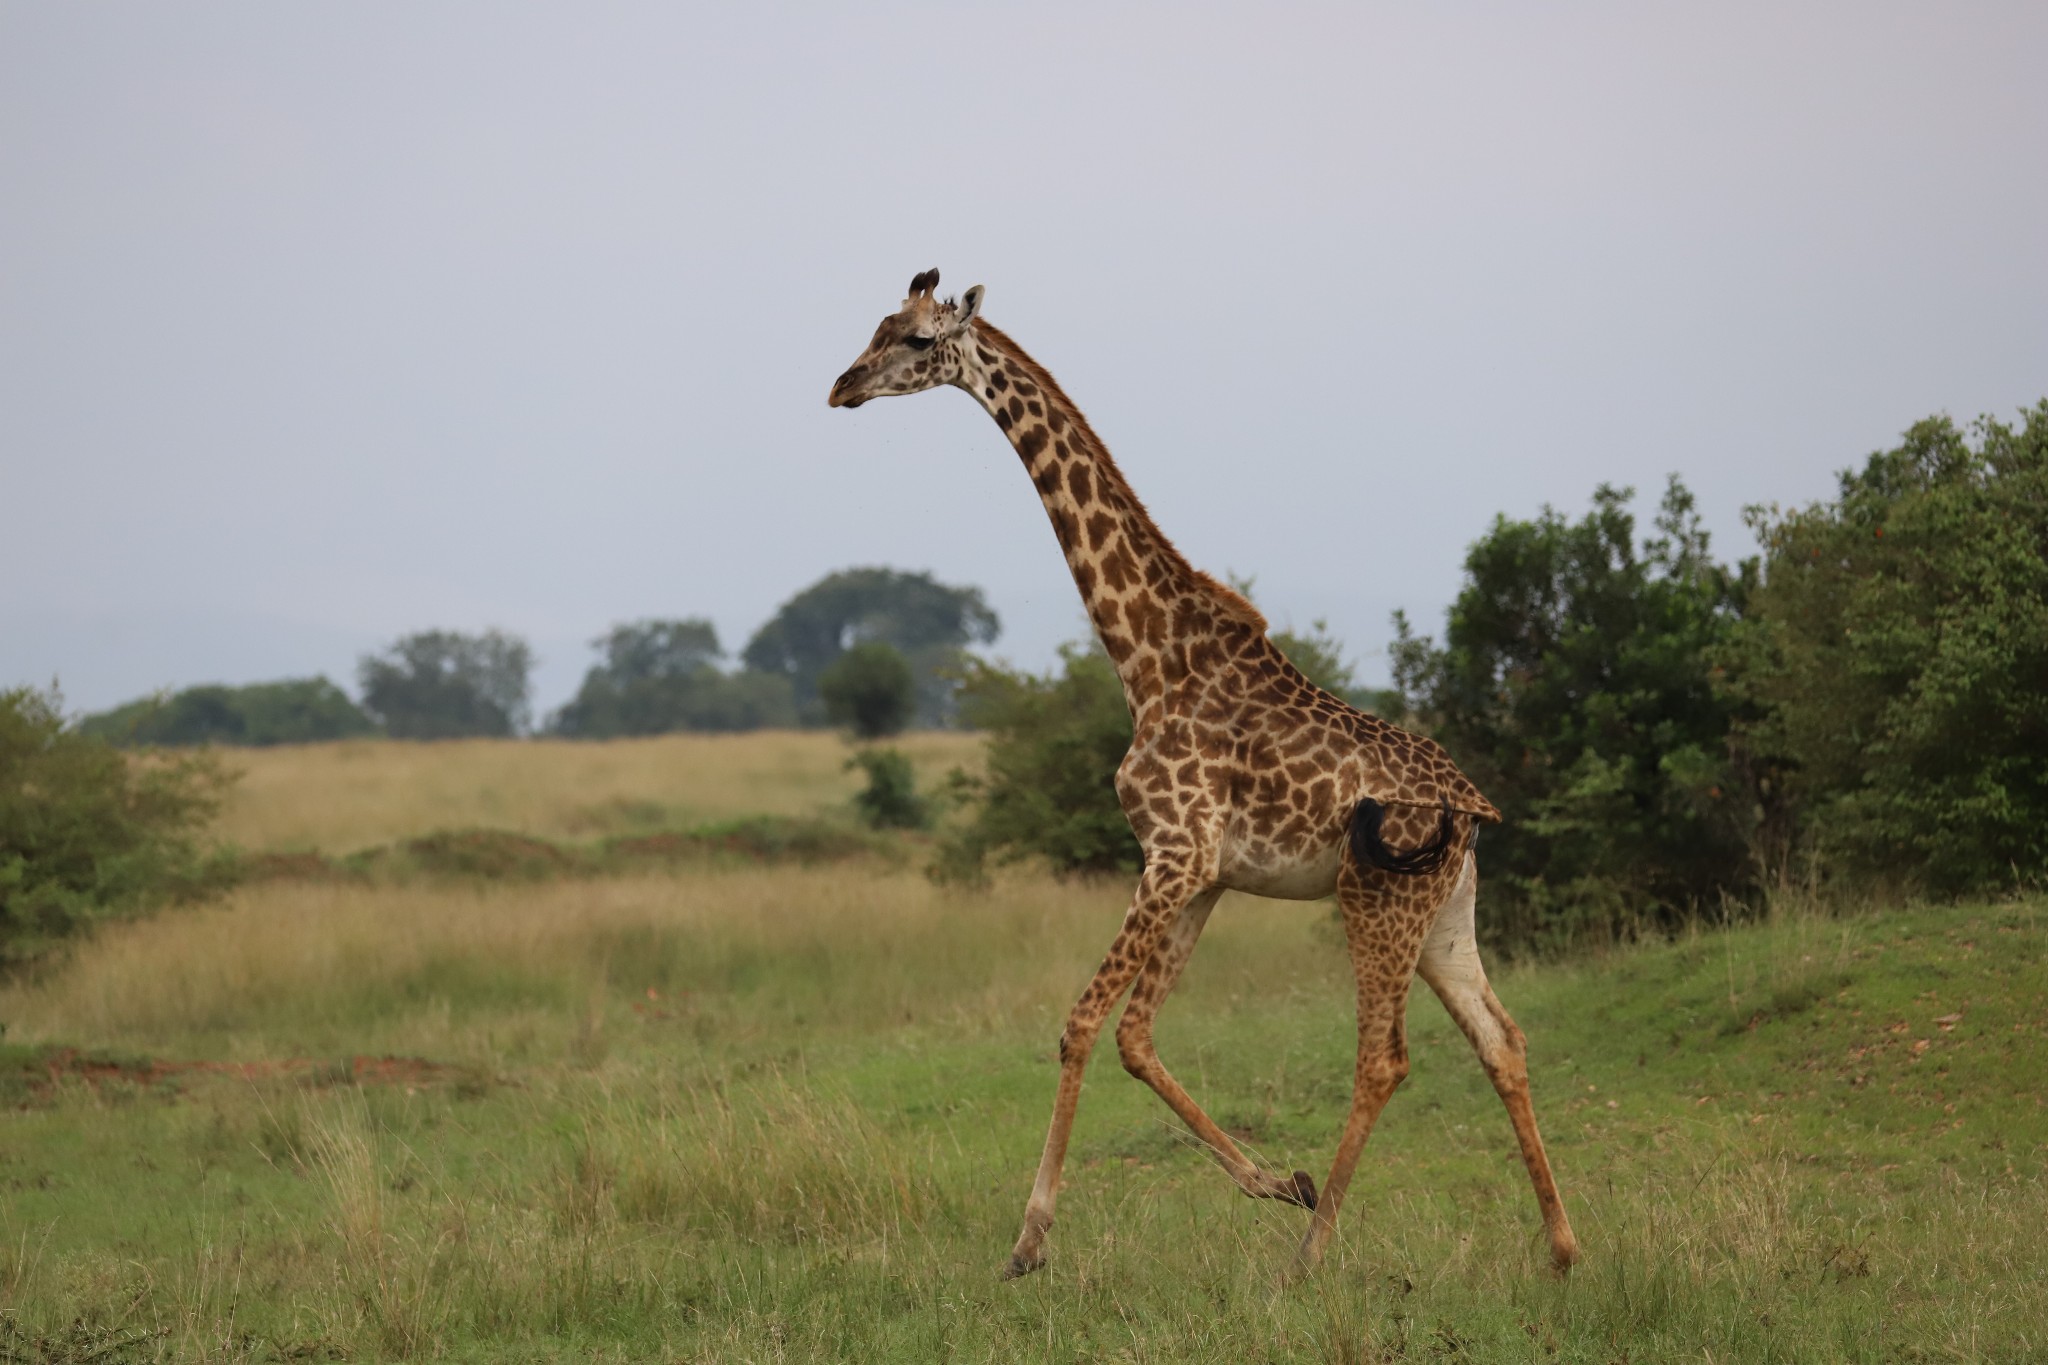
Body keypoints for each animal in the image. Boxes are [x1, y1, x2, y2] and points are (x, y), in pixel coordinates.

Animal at [823, 270, 1572, 1285]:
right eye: (877, 325)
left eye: (909, 339)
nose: (841, 387)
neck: (1146, 657)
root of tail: (1470, 806)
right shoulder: (1203, 873)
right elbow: (1136, 1035)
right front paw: (1276, 1179)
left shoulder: (1172, 854)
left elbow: (1082, 1022)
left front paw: (1028, 1240)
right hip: (1446, 913)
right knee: (1504, 1039)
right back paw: (1562, 1248)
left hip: (1375, 896)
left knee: (1384, 1058)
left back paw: (1310, 1255)